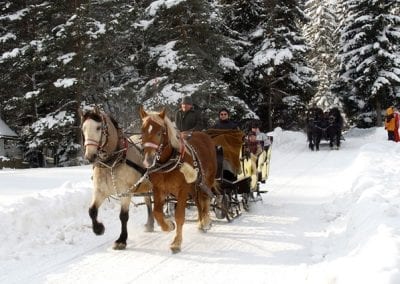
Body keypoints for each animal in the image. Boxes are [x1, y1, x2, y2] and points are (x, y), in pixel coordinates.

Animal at [79, 107, 153, 250]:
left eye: (98, 127)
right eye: (83, 128)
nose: (90, 156)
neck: (111, 162)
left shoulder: (126, 192)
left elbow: (123, 216)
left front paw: (121, 240)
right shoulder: (100, 191)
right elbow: (92, 211)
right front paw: (98, 229)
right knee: (148, 201)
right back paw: (150, 224)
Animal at [139, 106, 217, 253]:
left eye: (160, 132)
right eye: (142, 131)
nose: (148, 160)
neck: (168, 162)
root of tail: (205, 136)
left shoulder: (182, 190)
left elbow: (180, 216)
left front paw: (176, 242)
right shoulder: (159, 189)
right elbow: (157, 212)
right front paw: (168, 225)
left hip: (205, 181)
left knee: (205, 200)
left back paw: (205, 222)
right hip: (194, 187)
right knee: (198, 202)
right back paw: (200, 223)